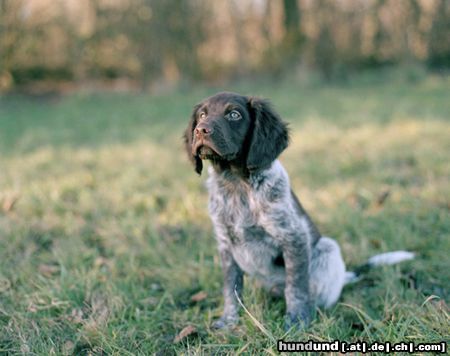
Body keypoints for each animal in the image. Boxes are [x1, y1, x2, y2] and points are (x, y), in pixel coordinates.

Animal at [184, 92, 414, 330]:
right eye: (202, 115)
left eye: (234, 114)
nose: (200, 130)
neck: (236, 184)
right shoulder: (225, 245)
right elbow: (231, 288)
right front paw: (229, 321)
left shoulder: (293, 237)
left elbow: (295, 286)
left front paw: (296, 320)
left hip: (328, 249)